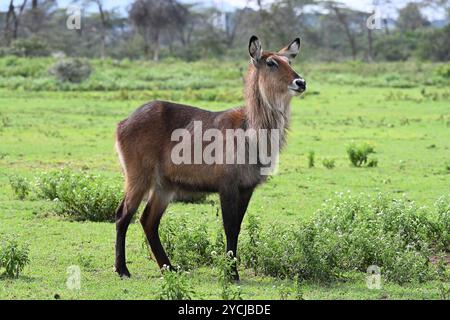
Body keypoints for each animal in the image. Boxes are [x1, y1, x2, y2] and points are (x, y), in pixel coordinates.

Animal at [114, 36, 308, 278]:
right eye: (271, 63)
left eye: (289, 61)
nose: (301, 82)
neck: (250, 130)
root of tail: (123, 122)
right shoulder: (227, 186)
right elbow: (229, 227)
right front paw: (231, 274)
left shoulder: (247, 188)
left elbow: (238, 227)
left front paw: (232, 270)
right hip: (138, 178)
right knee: (123, 215)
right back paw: (122, 269)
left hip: (163, 186)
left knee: (148, 221)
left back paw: (170, 268)